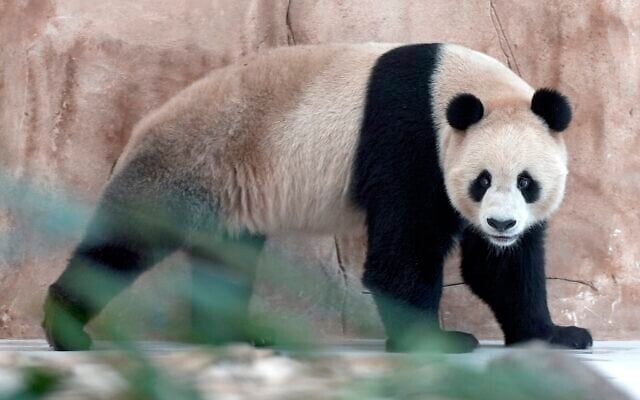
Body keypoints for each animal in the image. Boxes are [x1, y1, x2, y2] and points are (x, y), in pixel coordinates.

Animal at [43, 43, 593, 352]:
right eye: (482, 180)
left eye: (526, 182)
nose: (501, 225)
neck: (452, 87)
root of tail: (142, 127)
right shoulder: (409, 142)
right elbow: (402, 256)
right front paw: (438, 341)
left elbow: (500, 269)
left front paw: (555, 333)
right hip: (190, 162)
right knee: (126, 241)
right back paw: (65, 331)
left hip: (227, 192)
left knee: (227, 262)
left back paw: (232, 335)